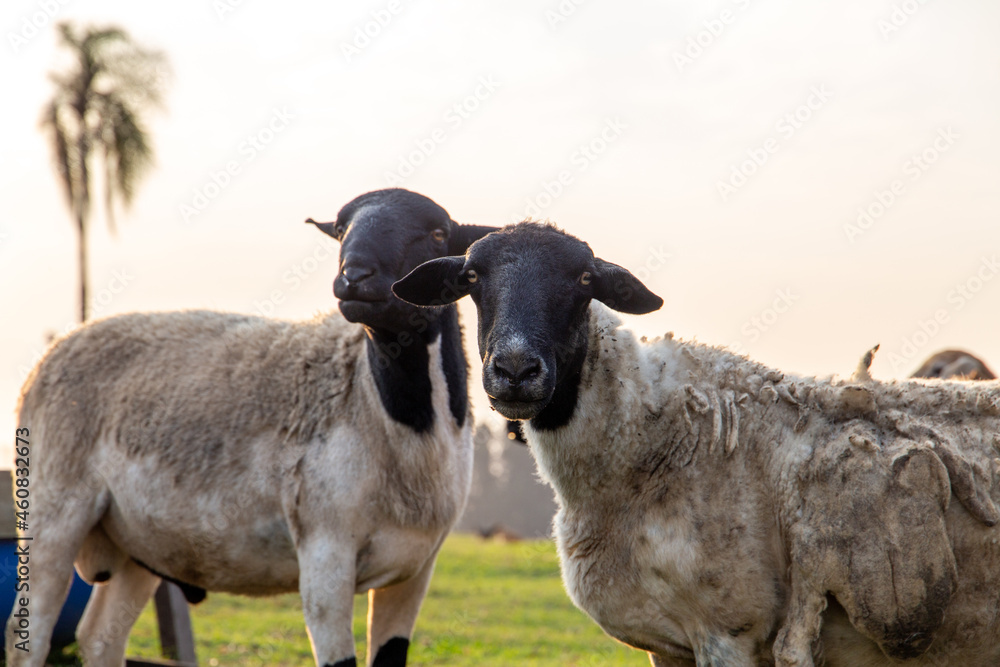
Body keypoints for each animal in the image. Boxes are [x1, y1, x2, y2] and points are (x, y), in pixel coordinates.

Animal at [8, 188, 498, 667]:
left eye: (438, 233)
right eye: (341, 230)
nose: (354, 276)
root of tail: (60, 345)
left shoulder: (415, 571)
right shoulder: (325, 552)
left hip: (139, 543)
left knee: (98, 638)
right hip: (53, 504)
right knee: (27, 635)